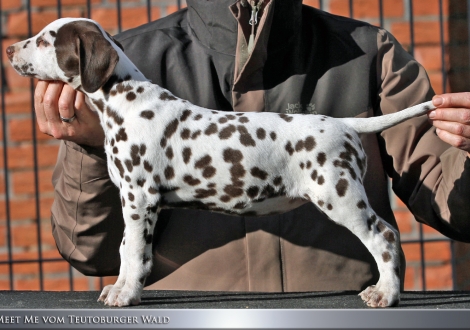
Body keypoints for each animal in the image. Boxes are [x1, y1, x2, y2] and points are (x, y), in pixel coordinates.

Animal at [6, 17, 434, 306]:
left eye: (45, 40)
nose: (8, 49)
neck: (125, 101)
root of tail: (346, 124)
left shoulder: (140, 198)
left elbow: (135, 252)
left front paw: (126, 294)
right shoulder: (131, 202)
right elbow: (127, 249)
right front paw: (122, 287)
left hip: (340, 197)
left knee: (385, 237)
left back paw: (386, 293)